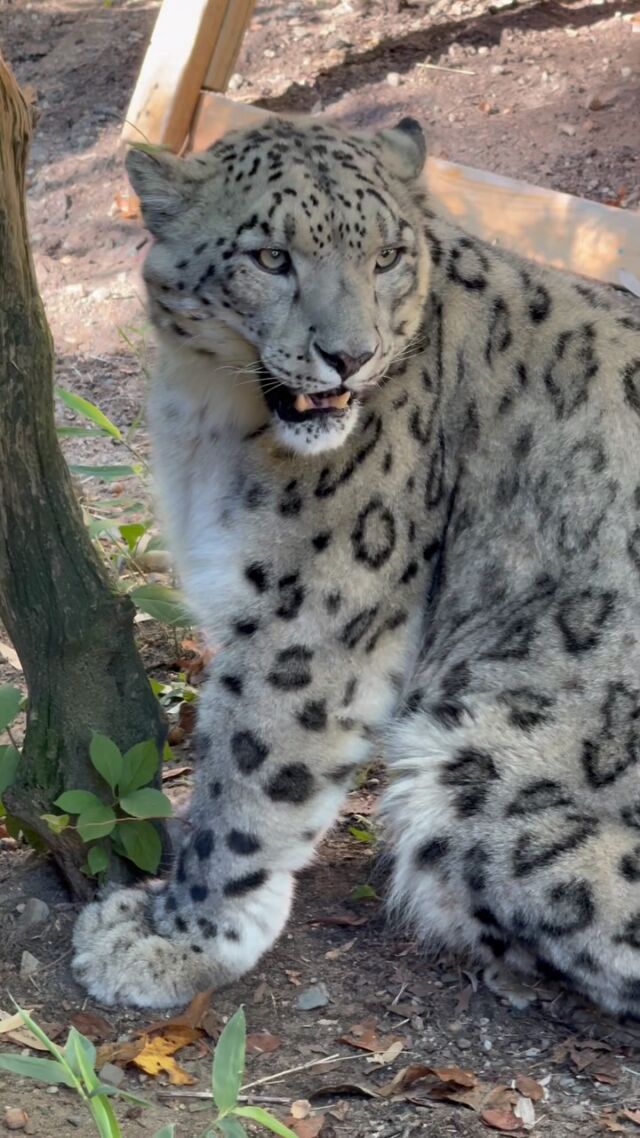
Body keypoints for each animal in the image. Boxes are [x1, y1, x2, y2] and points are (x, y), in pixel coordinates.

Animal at [72, 114, 640, 1015]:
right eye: (271, 256)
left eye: (386, 255)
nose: (350, 356)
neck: (211, 420)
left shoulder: (309, 617)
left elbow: (248, 780)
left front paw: (177, 940)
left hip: (475, 766)